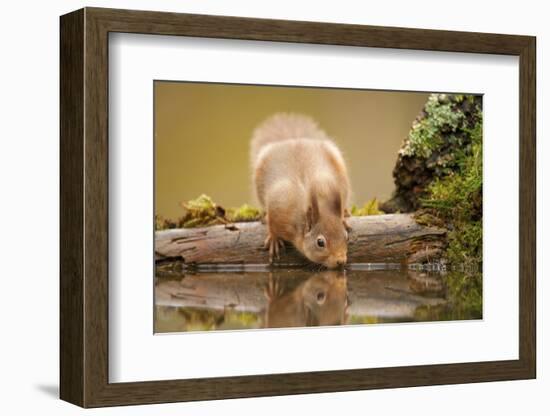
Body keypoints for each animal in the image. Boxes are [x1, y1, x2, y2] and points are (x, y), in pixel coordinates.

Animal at [251, 114, 352, 270]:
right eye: (320, 243)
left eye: (346, 236)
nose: (341, 261)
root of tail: (293, 139)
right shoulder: (279, 207)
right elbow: (272, 225)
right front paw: (274, 238)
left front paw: (342, 217)